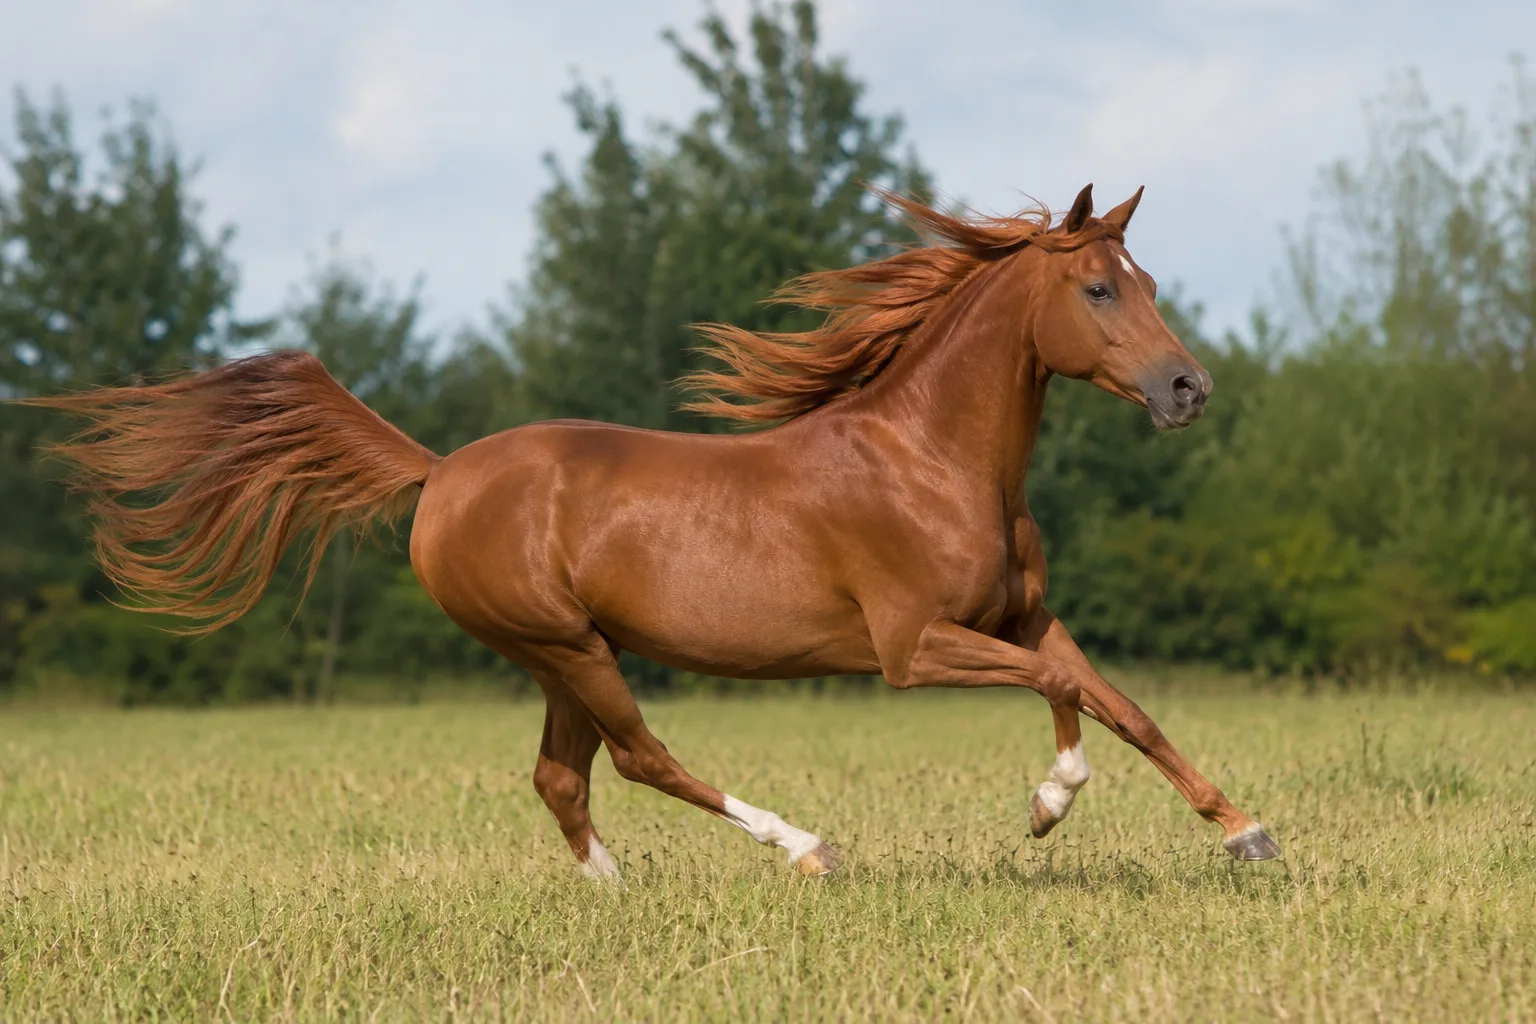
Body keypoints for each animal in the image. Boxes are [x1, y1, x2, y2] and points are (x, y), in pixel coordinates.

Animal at [24, 183, 1280, 880]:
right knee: (637, 757)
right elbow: (1068, 695)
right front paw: (1050, 804)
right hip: (563, 644)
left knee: (561, 777)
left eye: (1148, 276)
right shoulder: (914, 646)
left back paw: (614, 889)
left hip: (566, 654)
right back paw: (805, 847)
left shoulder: (1022, 615)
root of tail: (440, 474)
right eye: (1100, 290)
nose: (1187, 389)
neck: (929, 459)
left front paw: (1243, 830)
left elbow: (1117, 700)